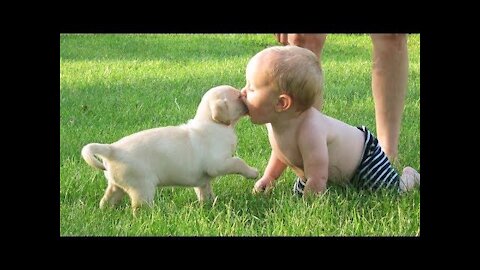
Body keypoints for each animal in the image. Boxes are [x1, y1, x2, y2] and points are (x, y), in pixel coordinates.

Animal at [80, 85, 258, 214]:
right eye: (239, 96)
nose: (245, 95)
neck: (212, 123)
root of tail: (112, 149)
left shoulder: (204, 179)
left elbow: (205, 190)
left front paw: (210, 205)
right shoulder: (218, 164)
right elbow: (238, 162)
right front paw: (253, 173)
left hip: (117, 186)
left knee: (107, 200)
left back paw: (105, 212)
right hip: (142, 187)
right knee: (139, 208)